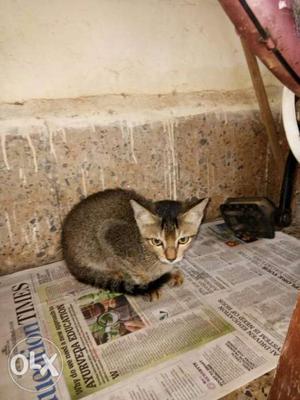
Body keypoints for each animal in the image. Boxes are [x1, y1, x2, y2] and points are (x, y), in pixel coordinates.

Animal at [61, 189, 209, 298]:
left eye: (183, 240)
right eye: (156, 241)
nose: (171, 258)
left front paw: (172, 271)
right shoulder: (108, 234)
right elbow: (130, 269)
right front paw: (147, 283)